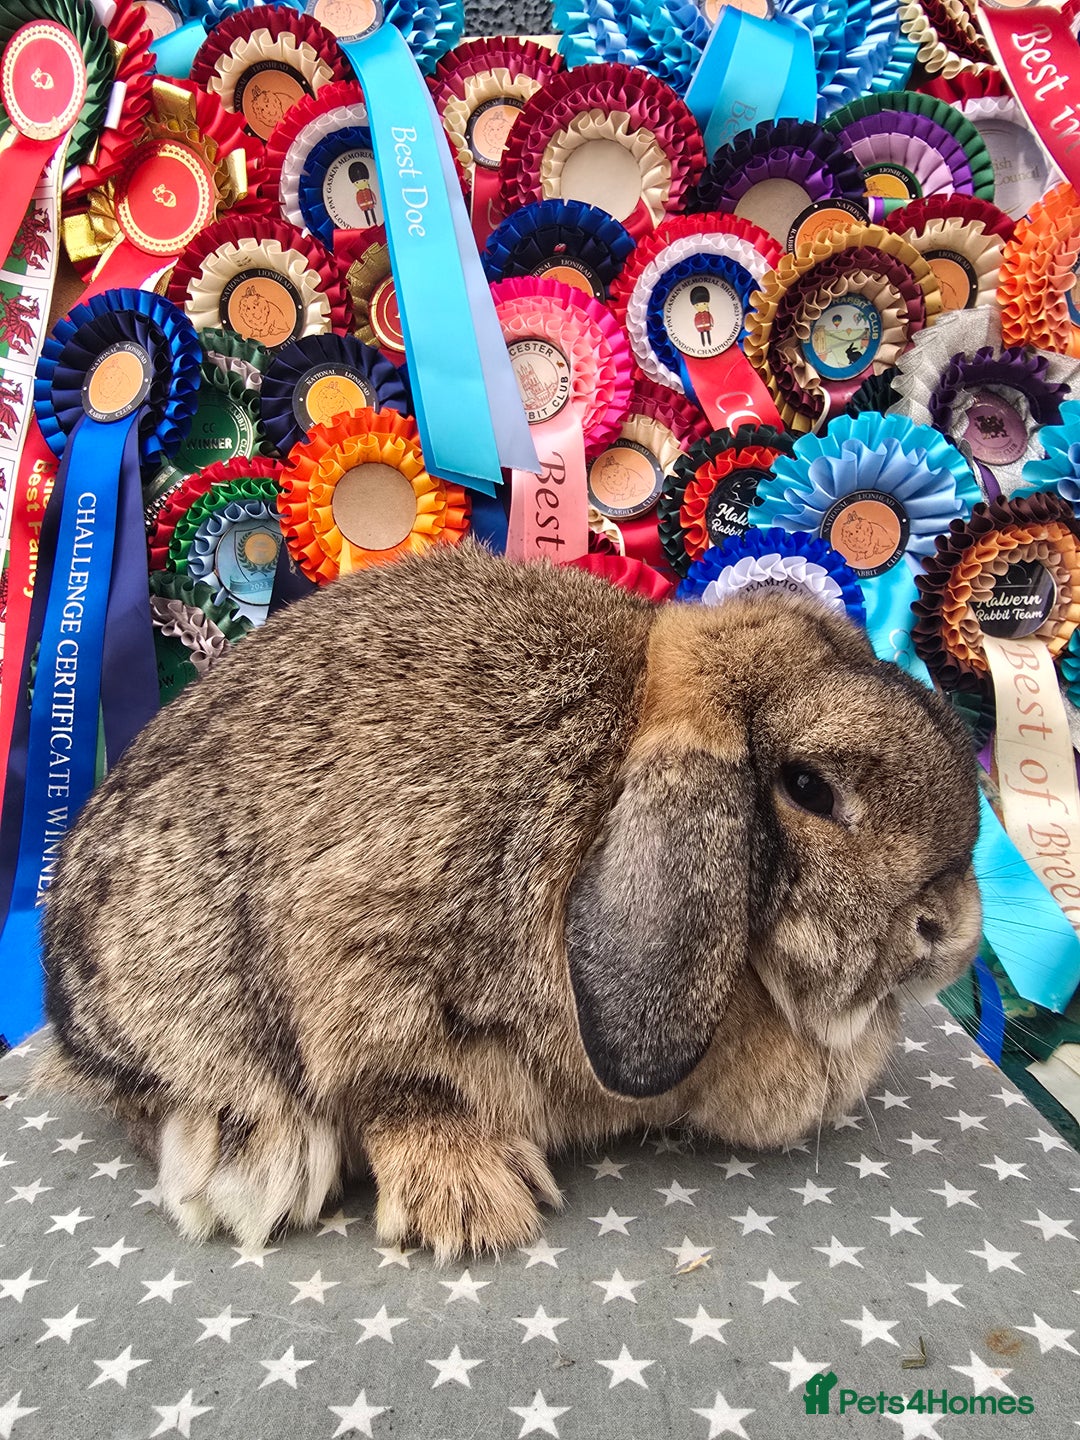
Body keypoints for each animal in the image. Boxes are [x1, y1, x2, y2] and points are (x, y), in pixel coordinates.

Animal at [34, 540, 982, 1261]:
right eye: (808, 788)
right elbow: (400, 1090)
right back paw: (249, 1163)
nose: (952, 932)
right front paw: (473, 1203)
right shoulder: (367, 967)